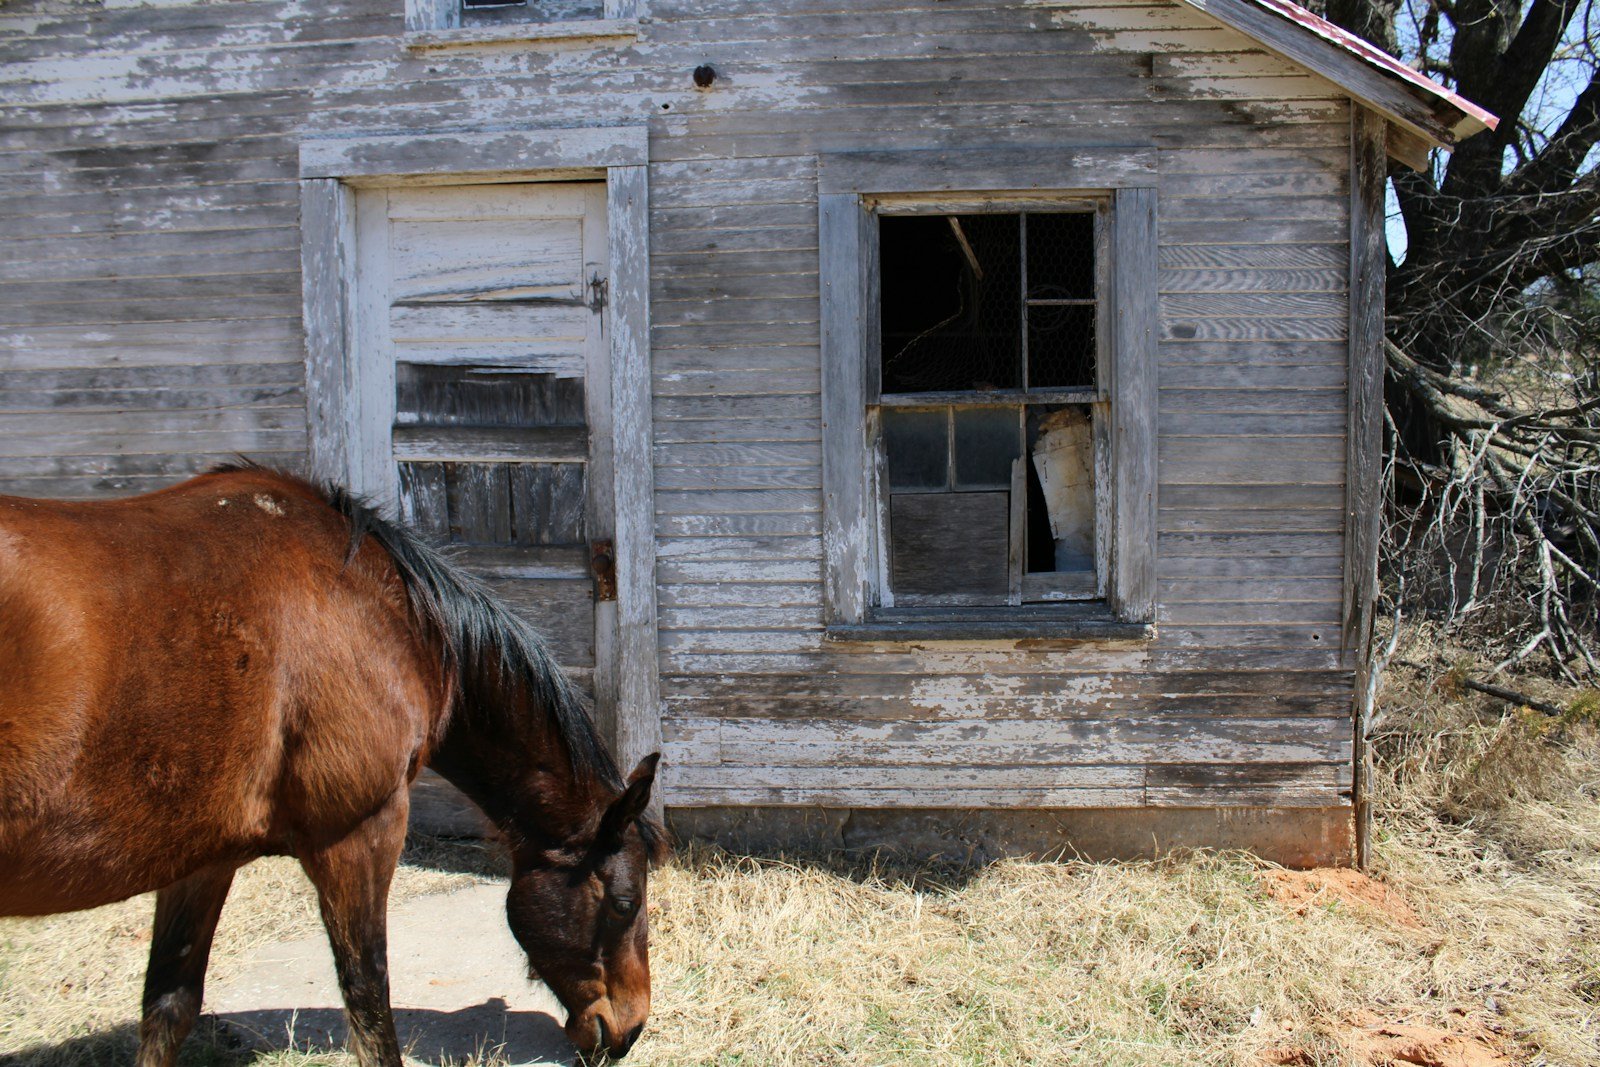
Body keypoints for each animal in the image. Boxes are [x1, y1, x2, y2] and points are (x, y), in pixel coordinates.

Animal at [0, 463, 665, 1066]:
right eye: (624, 904)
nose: (629, 1028)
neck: (384, 608)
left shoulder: (201, 855)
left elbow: (169, 1006)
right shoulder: (358, 834)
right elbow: (370, 1004)